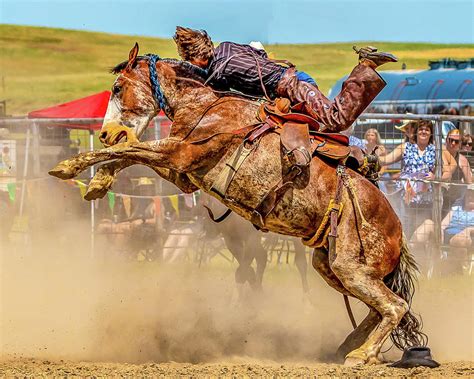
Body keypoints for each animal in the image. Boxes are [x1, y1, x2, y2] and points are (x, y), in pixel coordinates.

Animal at [50, 44, 428, 368]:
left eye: (117, 87)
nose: (106, 132)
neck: (205, 105)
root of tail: (398, 231)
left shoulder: (178, 153)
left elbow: (126, 150)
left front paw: (69, 167)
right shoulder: (182, 172)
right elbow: (127, 155)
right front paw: (98, 182)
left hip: (351, 267)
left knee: (394, 306)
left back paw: (361, 355)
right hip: (331, 264)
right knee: (376, 309)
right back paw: (347, 347)